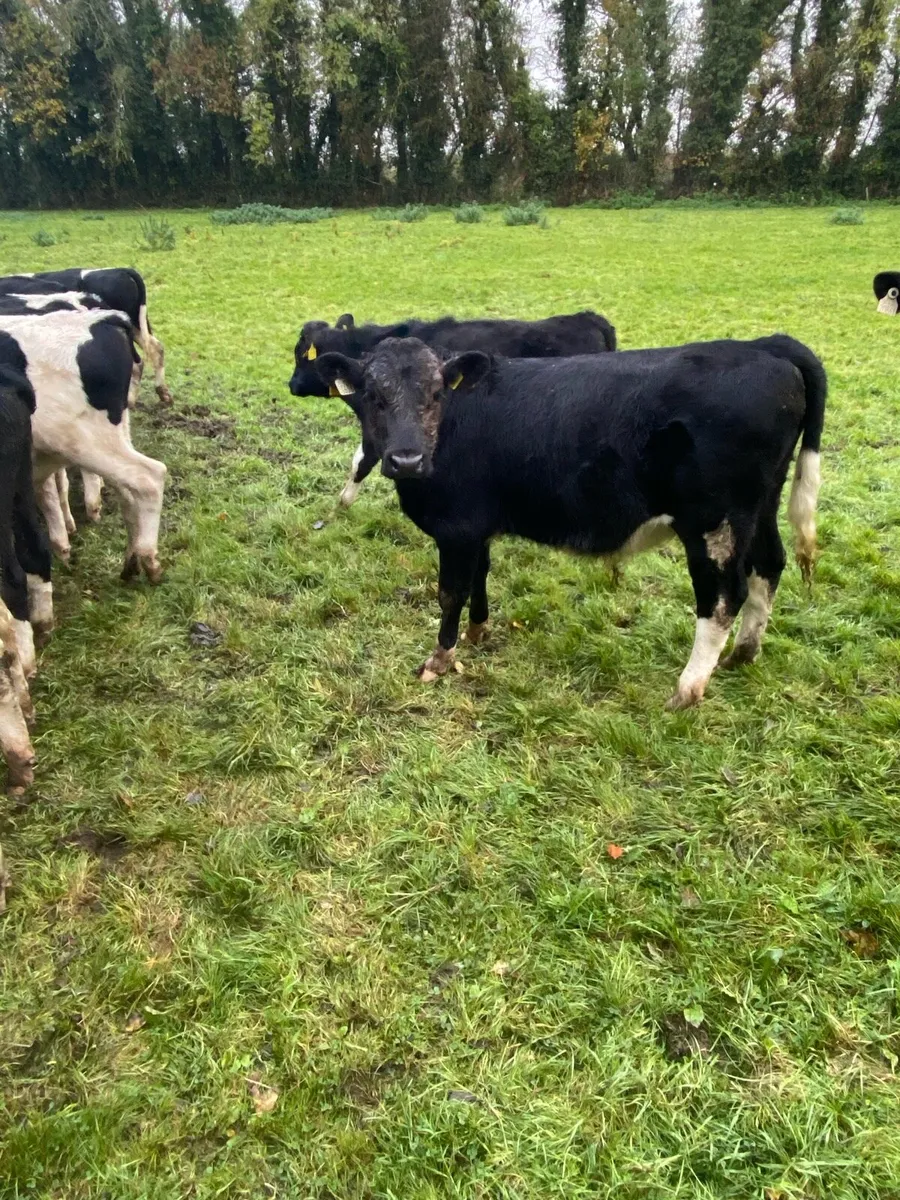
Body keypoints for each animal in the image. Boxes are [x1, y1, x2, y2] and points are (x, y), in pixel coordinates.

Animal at [0, 310, 167, 583]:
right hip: (112, 434)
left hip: (82, 440)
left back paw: (149, 561)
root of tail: (104, 318)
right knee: (128, 493)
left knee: (149, 477)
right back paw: (131, 562)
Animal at [313, 334, 826, 710]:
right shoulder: (477, 526)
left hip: (714, 520)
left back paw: (687, 688)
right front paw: (479, 632)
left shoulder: (456, 529)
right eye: (373, 395)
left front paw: (440, 659)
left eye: (437, 392)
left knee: (722, 597)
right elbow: (481, 576)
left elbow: (451, 592)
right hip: (758, 509)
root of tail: (766, 345)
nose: (406, 459)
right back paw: (744, 653)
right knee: (768, 566)